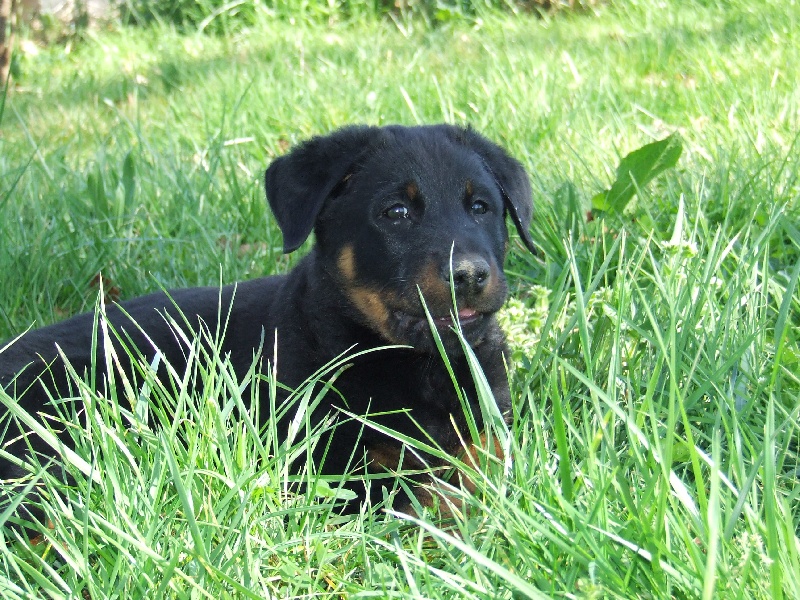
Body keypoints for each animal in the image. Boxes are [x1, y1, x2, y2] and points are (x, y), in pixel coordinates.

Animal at [1, 124, 536, 524]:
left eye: (481, 207)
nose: (469, 275)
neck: (420, 363)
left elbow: (484, 469)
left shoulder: (491, 431)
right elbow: (426, 496)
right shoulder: (329, 468)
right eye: (396, 212)